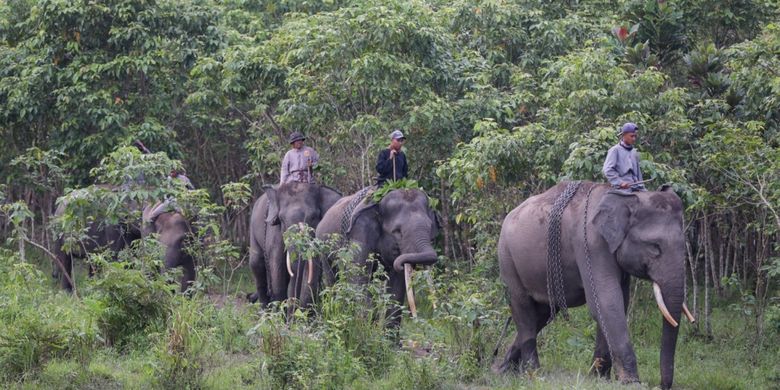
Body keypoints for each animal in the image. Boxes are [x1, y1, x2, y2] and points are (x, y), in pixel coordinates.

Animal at [316, 187, 438, 328]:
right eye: (397, 231)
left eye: (430, 226)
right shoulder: (359, 235)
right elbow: (358, 280)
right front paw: (367, 328)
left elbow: (396, 290)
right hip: (324, 249)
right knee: (332, 281)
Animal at [496, 182, 692, 390]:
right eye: (655, 247)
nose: (663, 386)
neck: (625, 197)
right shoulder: (591, 244)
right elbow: (607, 302)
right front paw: (631, 382)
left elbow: (617, 303)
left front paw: (599, 377)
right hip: (508, 259)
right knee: (523, 309)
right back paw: (533, 374)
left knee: (541, 315)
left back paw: (503, 370)